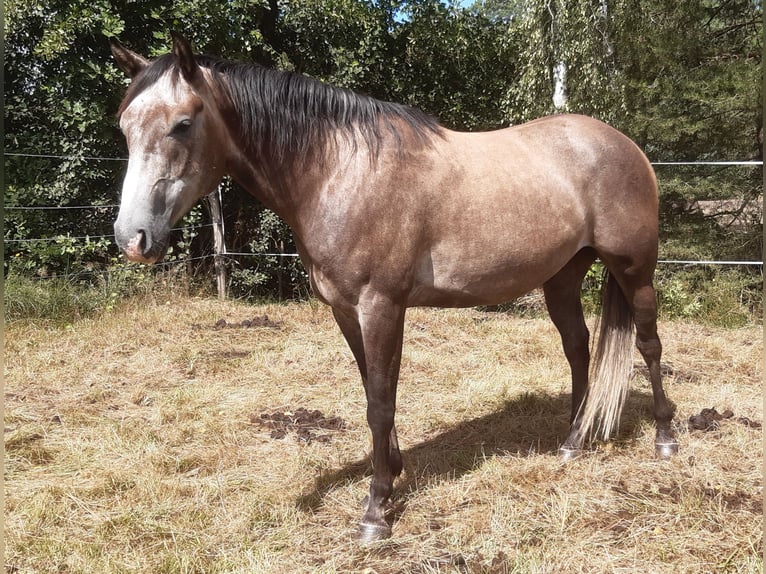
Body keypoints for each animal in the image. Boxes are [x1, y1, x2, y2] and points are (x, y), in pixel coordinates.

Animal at [109, 33, 680, 544]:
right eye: (125, 127)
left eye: (183, 124)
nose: (132, 239)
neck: (338, 172)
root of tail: (624, 145)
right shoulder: (345, 310)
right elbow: (371, 390)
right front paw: (393, 468)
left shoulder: (381, 306)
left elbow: (381, 402)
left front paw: (376, 510)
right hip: (562, 278)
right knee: (579, 348)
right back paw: (574, 441)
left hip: (635, 271)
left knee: (648, 344)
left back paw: (665, 438)